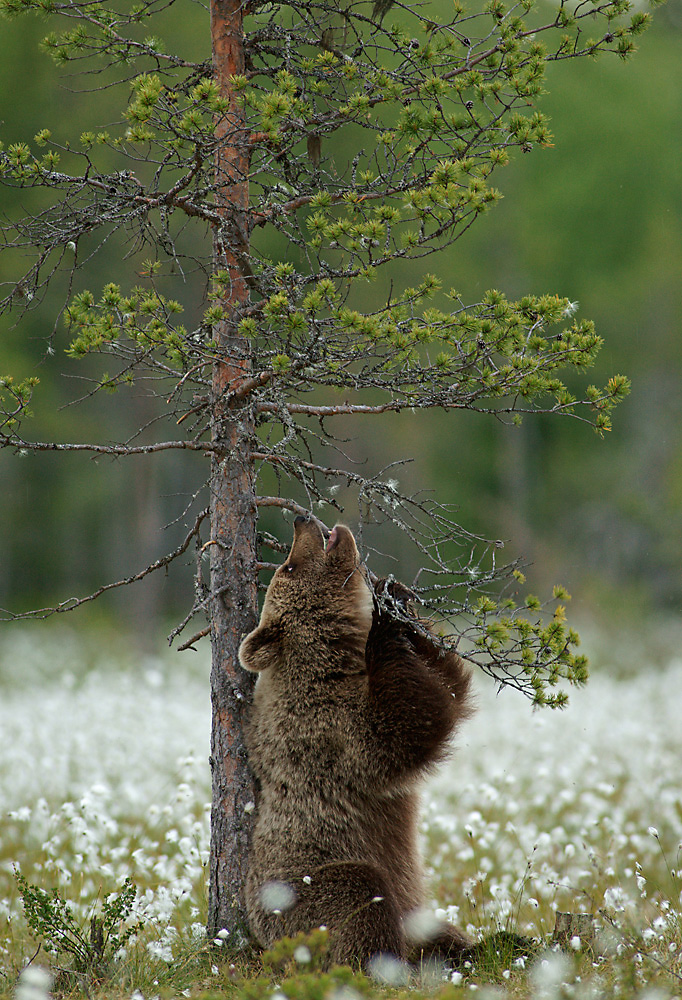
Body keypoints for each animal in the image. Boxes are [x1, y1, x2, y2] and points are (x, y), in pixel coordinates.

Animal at [239, 520, 472, 964]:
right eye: (288, 567)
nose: (302, 522)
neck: (335, 659)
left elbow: (450, 690)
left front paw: (398, 598)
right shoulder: (325, 725)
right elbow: (406, 725)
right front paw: (384, 622)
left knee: (439, 932)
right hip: (297, 891)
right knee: (361, 893)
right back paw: (384, 963)